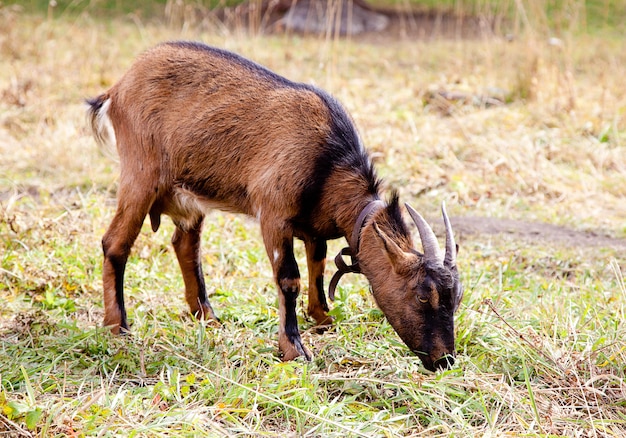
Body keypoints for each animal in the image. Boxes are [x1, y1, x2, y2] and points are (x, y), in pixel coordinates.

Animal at [85, 40, 460, 370]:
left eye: (455, 297)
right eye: (422, 295)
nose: (444, 360)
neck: (328, 163)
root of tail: (117, 88)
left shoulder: (313, 226)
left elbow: (318, 265)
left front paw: (322, 319)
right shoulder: (274, 214)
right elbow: (289, 278)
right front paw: (293, 349)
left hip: (186, 192)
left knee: (185, 244)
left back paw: (208, 317)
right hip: (141, 173)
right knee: (115, 243)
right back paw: (118, 327)